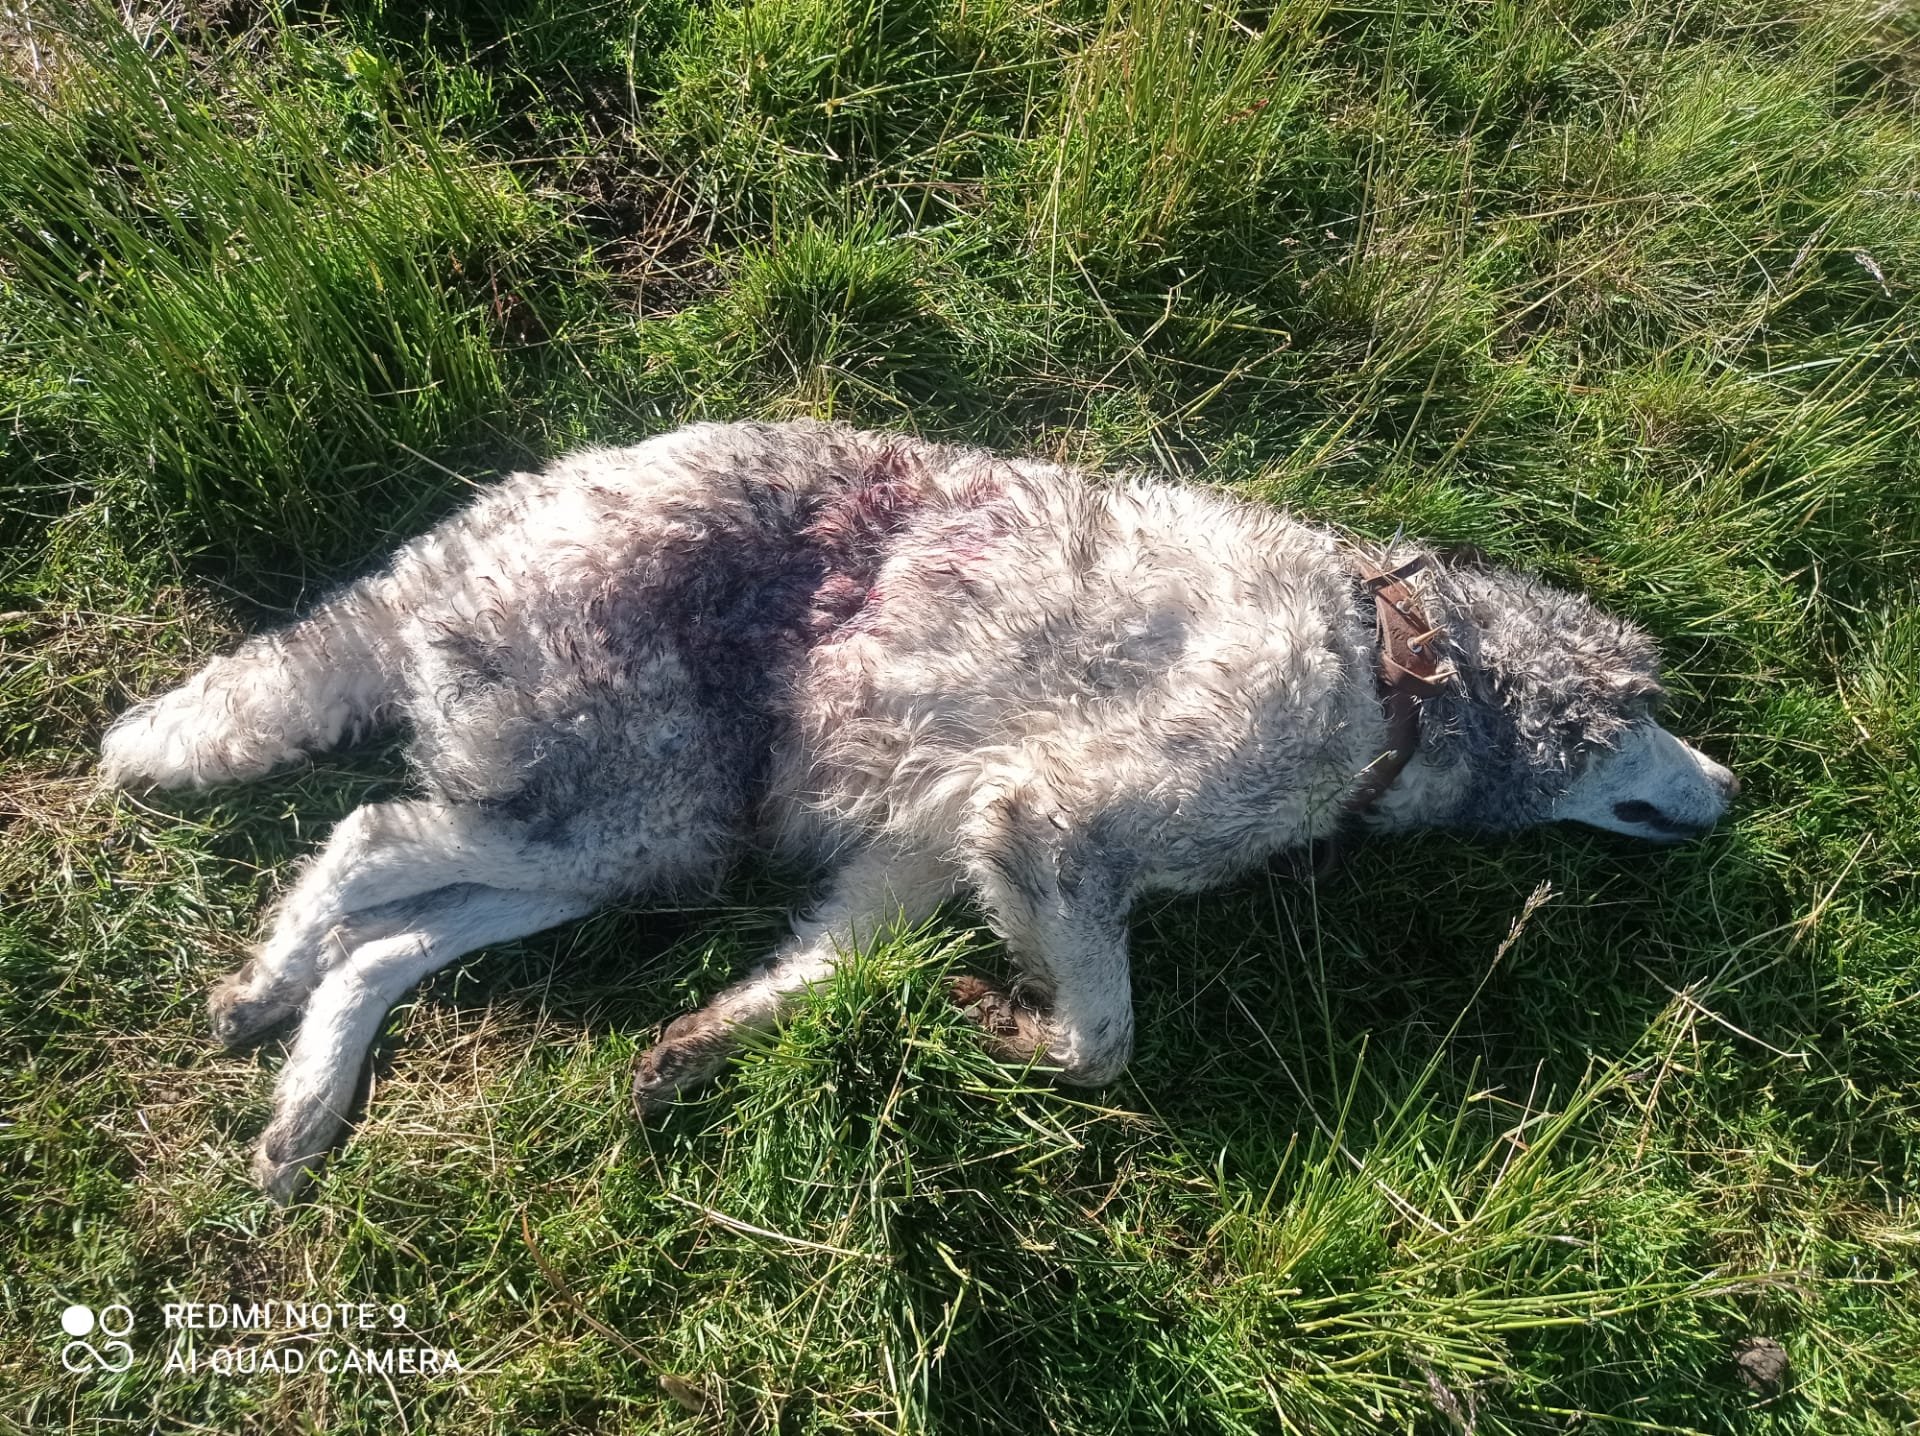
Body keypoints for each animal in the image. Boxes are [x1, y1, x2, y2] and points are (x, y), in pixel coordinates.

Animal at [97, 420, 1743, 1205]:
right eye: (1646, 714)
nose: (1731, 792)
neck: (1388, 670)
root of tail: (506, 505)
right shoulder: (1055, 823)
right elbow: (1106, 1038)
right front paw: (1001, 1024)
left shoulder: (921, 847)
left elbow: (810, 976)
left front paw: (695, 1053)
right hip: (615, 810)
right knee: (366, 840)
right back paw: (263, 990)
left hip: (630, 844)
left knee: (389, 939)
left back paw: (302, 1110)